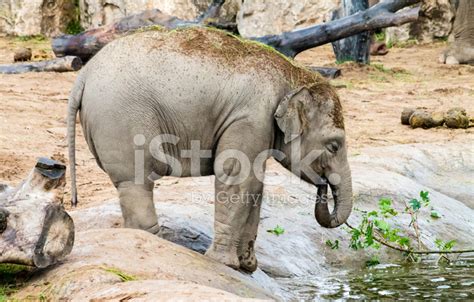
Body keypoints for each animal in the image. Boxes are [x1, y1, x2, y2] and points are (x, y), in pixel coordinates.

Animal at [68, 27, 354, 272]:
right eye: (334, 145)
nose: (323, 185)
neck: (293, 75)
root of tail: (84, 73)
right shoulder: (250, 118)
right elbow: (237, 177)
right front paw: (225, 263)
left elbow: (255, 184)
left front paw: (248, 266)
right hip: (123, 121)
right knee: (136, 182)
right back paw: (156, 242)